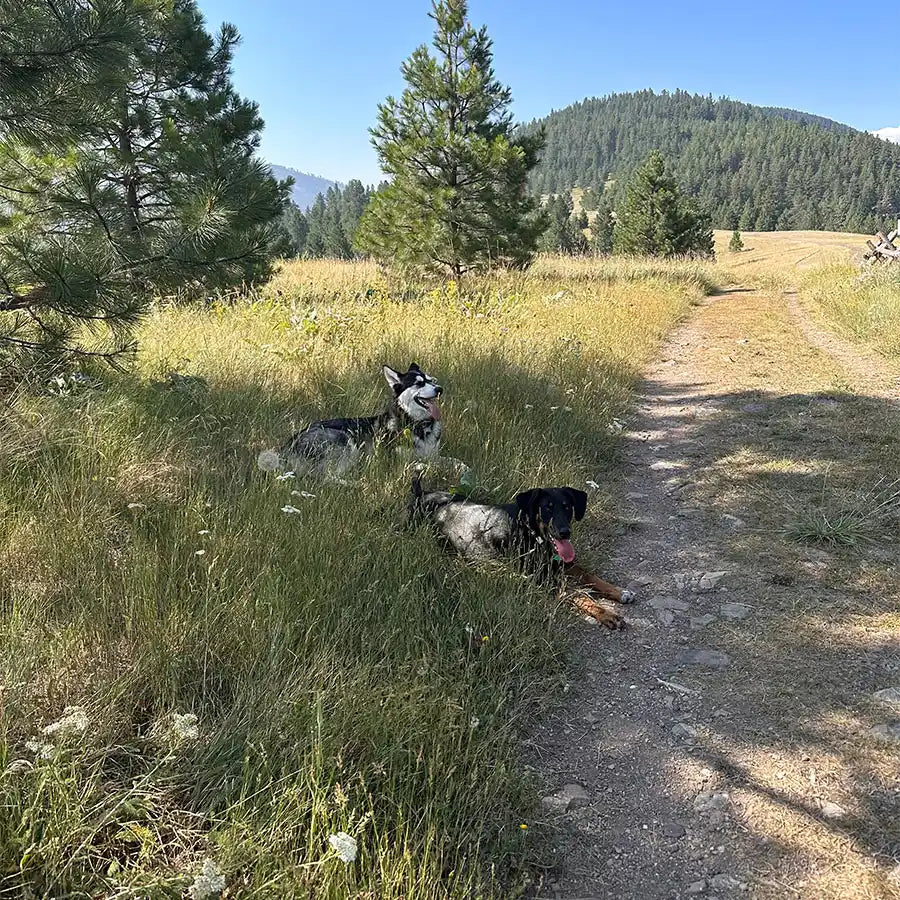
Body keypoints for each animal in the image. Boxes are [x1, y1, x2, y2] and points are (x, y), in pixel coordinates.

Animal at [258, 360, 444, 474]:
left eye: (431, 380)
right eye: (419, 383)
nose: (440, 389)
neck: (419, 424)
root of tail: (288, 445)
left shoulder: (434, 453)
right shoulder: (398, 460)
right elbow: (425, 463)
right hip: (344, 441)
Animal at [412, 478, 636, 624]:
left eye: (567, 507)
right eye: (547, 507)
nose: (565, 532)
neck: (532, 533)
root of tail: (422, 495)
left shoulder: (561, 562)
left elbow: (590, 576)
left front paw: (620, 591)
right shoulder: (545, 580)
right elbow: (579, 594)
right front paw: (606, 613)